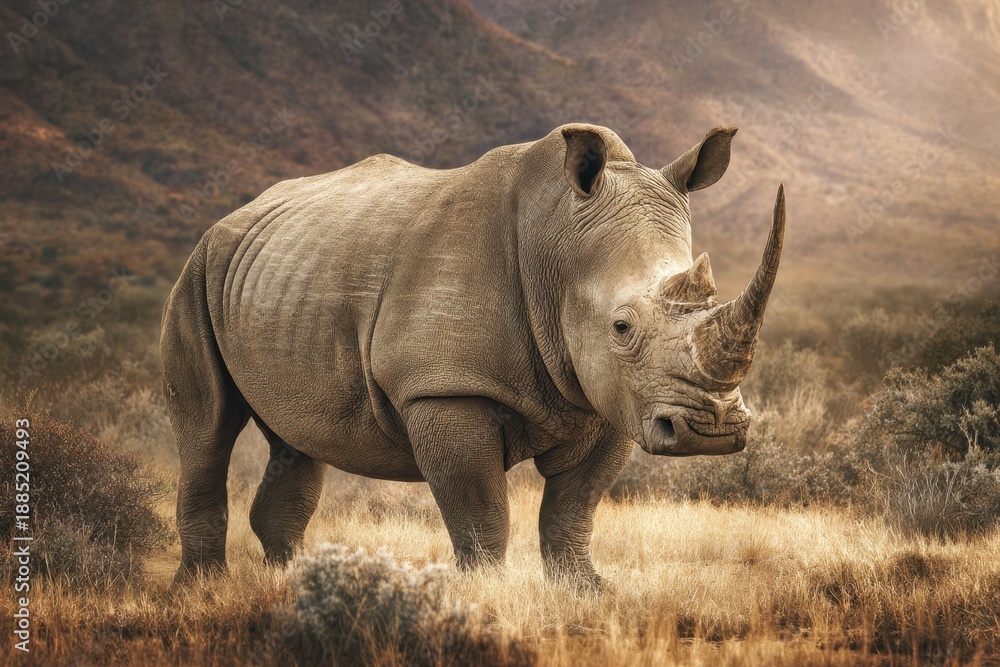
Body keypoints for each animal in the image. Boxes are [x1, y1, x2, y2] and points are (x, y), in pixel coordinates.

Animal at [162, 123, 786, 585]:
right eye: (622, 326)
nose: (712, 431)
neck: (558, 250)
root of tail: (232, 219)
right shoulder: (445, 388)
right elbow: (480, 508)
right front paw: (486, 591)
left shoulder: (614, 396)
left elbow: (574, 506)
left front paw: (585, 591)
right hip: (197, 272)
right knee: (207, 428)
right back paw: (205, 588)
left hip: (277, 275)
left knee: (295, 439)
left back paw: (289, 580)